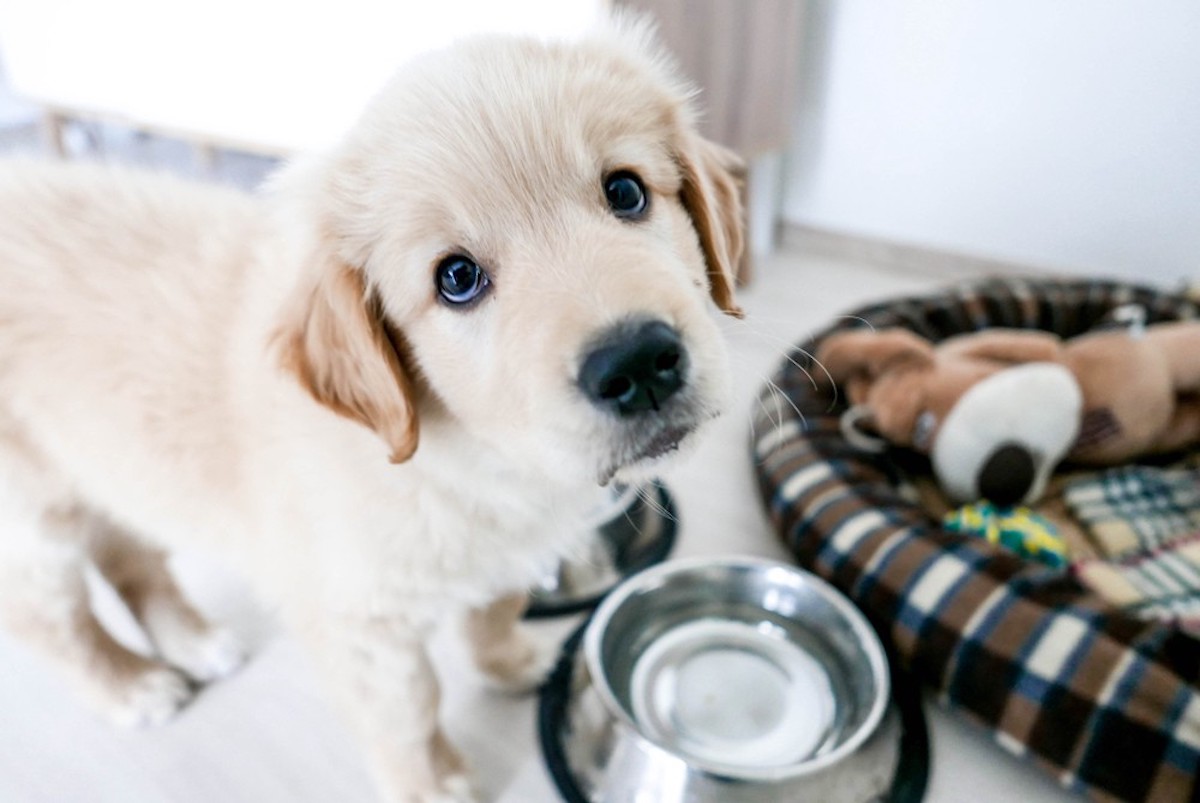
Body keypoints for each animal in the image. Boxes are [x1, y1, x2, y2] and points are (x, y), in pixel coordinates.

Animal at [0, 18, 739, 801]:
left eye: (626, 192)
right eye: (456, 278)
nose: (637, 364)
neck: (475, 456)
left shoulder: (508, 545)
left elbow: (494, 607)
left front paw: (509, 661)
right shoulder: (361, 623)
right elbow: (408, 711)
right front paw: (430, 786)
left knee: (129, 554)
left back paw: (195, 641)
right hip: (33, 519)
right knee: (48, 617)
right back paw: (131, 686)